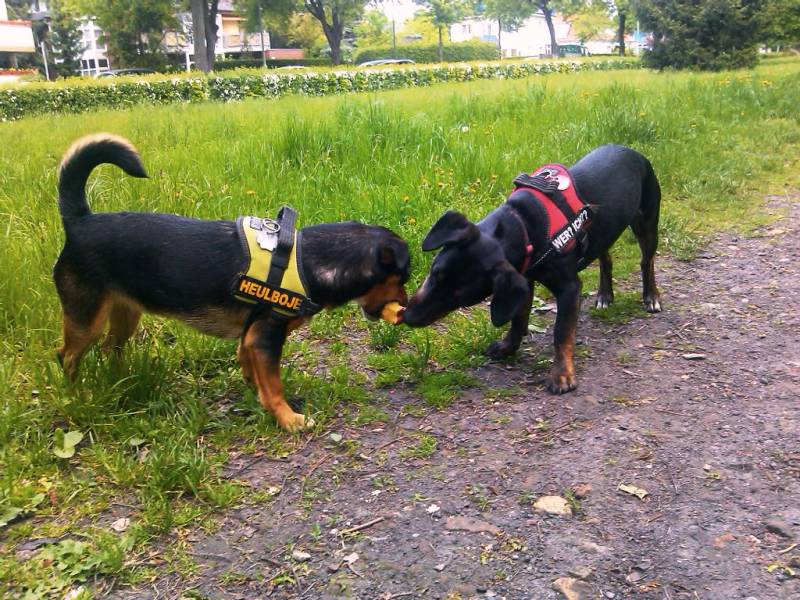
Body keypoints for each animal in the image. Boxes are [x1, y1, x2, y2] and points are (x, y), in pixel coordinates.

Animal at [54, 134, 409, 431]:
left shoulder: (250, 337)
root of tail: (79, 221)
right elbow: (274, 387)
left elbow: (254, 373)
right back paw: (79, 396)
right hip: (86, 318)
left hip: (125, 313)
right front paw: (288, 419)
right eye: (403, 278)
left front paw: (260, 398)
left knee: (109, 349)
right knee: (66, 356)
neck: (308, 261)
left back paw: (121, 380)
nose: (407, 305)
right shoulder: (265, 338)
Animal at [402, 144, 662, 394]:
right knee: (606, 259)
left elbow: (561, 333)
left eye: (460, 298)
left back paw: (651, 296)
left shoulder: (569, 288)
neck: (522, 225)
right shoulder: (522, 279)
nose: (406, 316)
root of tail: (632, 151)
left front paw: (562, 375)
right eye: (434, 272)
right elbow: (518, 319)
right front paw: (508, 347)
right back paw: (605, 295)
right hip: (603, 230)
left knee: (646, 261)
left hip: (646, 221)